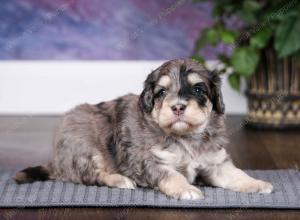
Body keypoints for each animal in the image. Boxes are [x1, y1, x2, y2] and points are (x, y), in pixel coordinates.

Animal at [14, 59, 274, 200]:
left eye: (198, 89)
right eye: (161, 92)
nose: (177, 106)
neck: (185, 137)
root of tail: (57, 161)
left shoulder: (215, 162)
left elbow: (236, 174)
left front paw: (257, 183)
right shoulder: (149, 161)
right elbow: (173, 175)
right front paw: (186, 189)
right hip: (86, 148)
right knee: (93, 175)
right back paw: (121, 180)